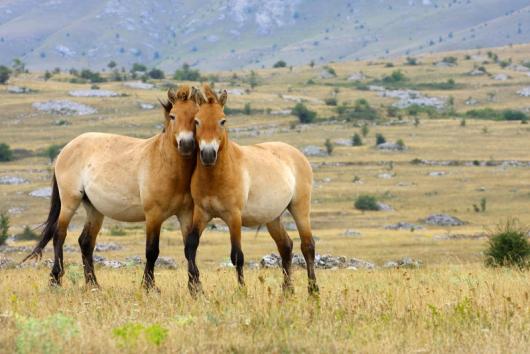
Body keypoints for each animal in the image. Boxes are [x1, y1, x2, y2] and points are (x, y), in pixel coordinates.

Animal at [23, 85, 199, 290]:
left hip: (94, 208)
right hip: (70, 202)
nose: (186, 144)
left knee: (85, 242)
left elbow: (190, 248)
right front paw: (149, 287)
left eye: (196, 117)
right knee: (60, 235)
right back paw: (55, 280)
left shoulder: (186, 214)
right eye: (172, 116)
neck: (165, 163)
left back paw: (93, 284)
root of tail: (66, 148)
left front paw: (196, 287)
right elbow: (152, 251)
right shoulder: (154, 215)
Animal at [185, 85, 318, 296]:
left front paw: (242, 291)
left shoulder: (234, 217)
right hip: (273, 217)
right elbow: (191, 246)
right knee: (286, 246)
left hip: (300, 208)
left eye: (222, 121)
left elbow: (237, 256)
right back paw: (287, 291)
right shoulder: (202, 213)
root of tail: (297, 153)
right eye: (196, 121)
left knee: (308, 246)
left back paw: (313, 291)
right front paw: (194, 288)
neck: (217, 177)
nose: (208, 154)